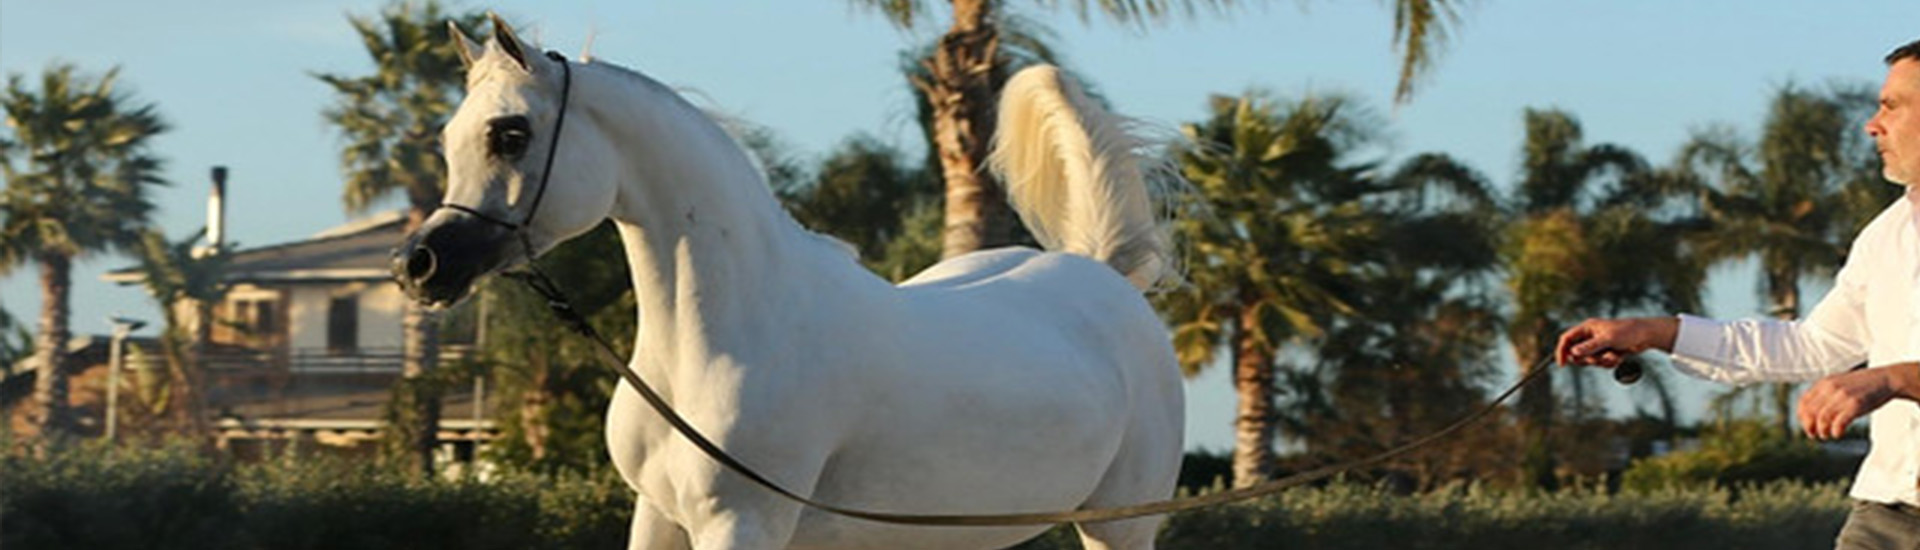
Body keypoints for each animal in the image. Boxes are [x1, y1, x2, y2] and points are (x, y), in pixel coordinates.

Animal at [395, 16, 1184, 550]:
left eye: (511, 134)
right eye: (449, 139)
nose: (419, 266)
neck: (733, 334)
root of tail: (1103, 272)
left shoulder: (742, 524)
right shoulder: (657, 517)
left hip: (1120, 525)